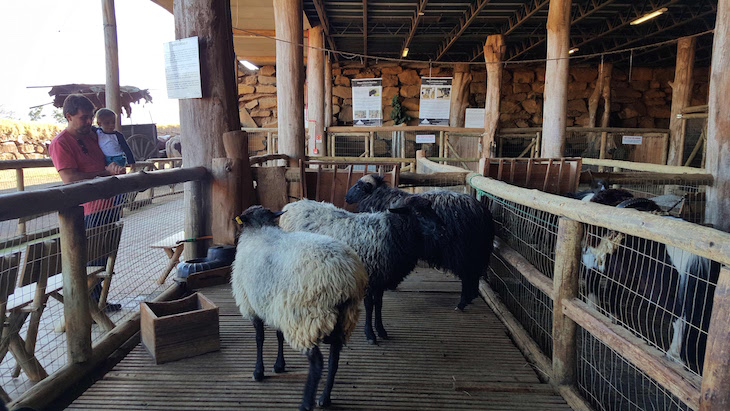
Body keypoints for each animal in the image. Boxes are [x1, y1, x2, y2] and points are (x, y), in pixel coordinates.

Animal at [232, 208, 366, 410]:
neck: (259, 229)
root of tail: (346, 278)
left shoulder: (251, 306)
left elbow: (259, 339)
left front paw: (258, 372)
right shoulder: (277, 308)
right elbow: (278, 335)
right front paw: (279, 365)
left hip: (306, 318)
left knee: (317, 362)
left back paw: (306, 402)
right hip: (344, 319)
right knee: (334, 360)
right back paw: (324, 398)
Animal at [278, 198, 438, 346]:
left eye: (431, 209)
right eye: (417, 212)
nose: (440, 231)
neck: (392, 233)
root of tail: (291, 205)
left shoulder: (380, 279)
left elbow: (378, 304)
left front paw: (381, 330)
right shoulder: (370, 275)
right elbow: (369, 306)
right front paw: (370, 334)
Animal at [342, 175, 492, 312]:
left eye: (359, 186)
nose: (346, 197)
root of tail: (480, 210)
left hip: (461, 252)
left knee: (468, 276)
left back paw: (462, 303)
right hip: (476, 252)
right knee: (474, 275)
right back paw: (471, 297)